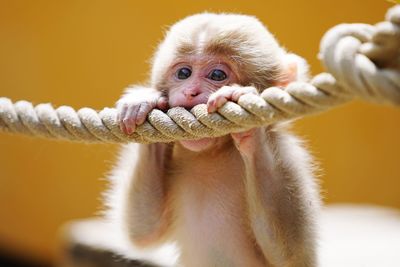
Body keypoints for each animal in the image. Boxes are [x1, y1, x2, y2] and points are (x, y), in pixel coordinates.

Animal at [108, 12, 318, 267]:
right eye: (184, 73)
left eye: (217, 75)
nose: (191, 91)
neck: (214, 154)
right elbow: (144, 230)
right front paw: (144, 101)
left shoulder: (287, 155)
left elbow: (293, 255)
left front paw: (243, 108)